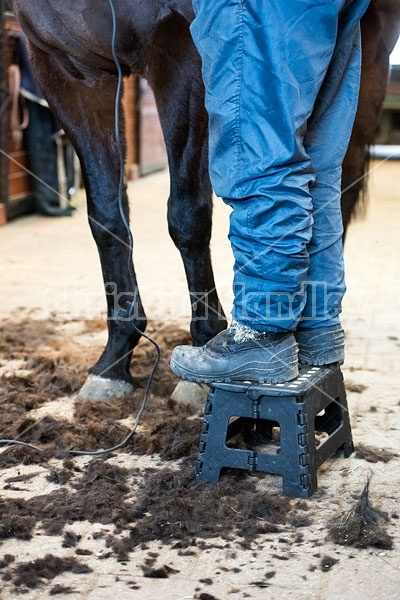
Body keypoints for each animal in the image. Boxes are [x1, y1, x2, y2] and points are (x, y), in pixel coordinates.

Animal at [5, 1, 400, 404]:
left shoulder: (182, 50)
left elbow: (186, 216)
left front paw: (204, 351)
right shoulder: (67, 71)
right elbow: (107, 219)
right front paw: (113, 362)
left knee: (342, 182)